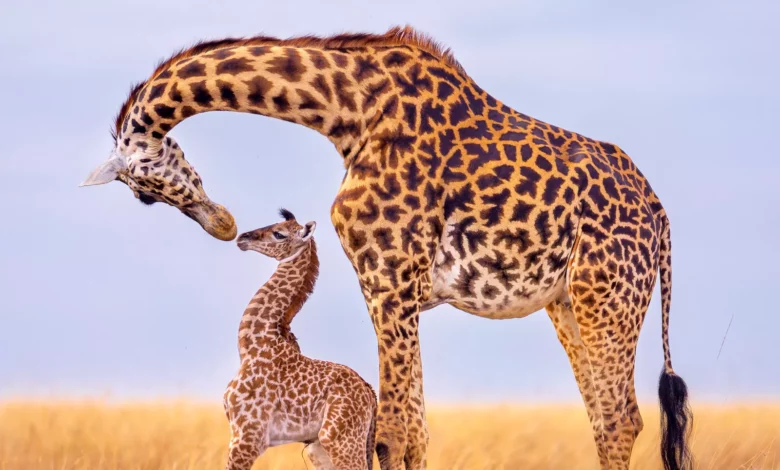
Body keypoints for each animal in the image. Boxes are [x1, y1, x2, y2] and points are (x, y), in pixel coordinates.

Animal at [225, 208, 377, 470]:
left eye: (278, 233)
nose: (242, 238)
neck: (251, 347)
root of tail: (370, 392)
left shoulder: (247, 437)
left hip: (341, 440)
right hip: (320, 447)